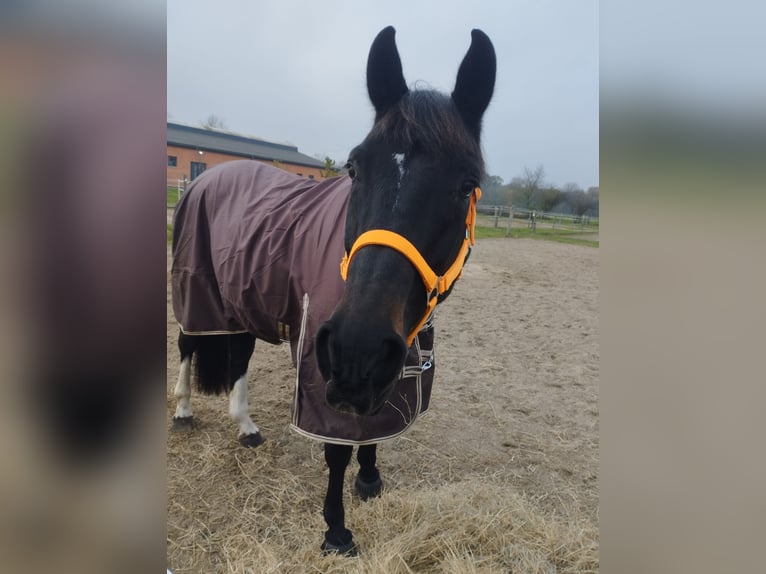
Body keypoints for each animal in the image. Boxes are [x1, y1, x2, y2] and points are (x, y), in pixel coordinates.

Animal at [171, 24, 498, 556]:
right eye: (354, 167)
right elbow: (337, 450)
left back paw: (246, 426)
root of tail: (210, 174)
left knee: (237, 355)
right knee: (187, 344)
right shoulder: (322, 366)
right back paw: (182, 410)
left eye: (467, 184)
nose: (357, 344)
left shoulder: (389, 365)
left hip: (241, 301)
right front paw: (336, 530)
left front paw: (370, 481)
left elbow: (372, 433)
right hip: (199, 293)